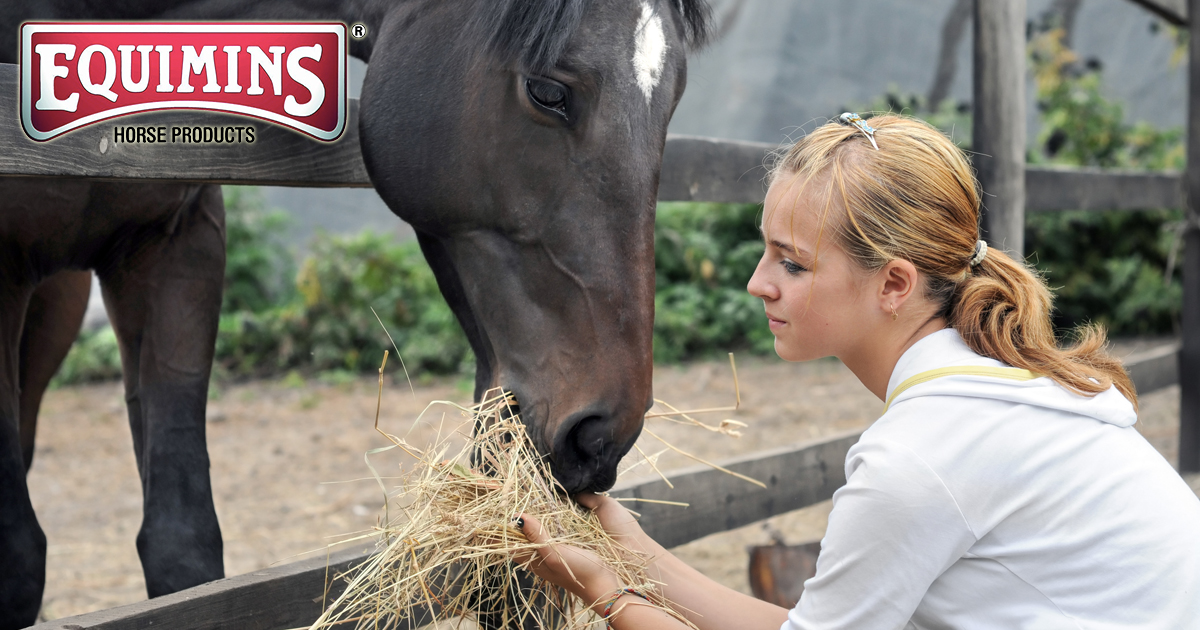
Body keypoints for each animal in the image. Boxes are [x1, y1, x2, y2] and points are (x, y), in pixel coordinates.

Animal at [0, 1, 705, 624]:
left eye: (674, 101)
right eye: (547, 91)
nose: (602, 435)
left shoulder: (179, 243)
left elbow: (182, 547)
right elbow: (22, 558)